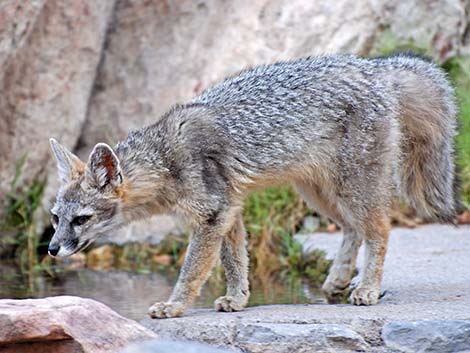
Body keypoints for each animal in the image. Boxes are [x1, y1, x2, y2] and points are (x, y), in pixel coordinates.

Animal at [49, 53, 458, 318]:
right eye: (55, 218)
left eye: (81, 219)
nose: (51, 249)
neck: (166, 155)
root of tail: (374, 66)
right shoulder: (229, 210)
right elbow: (235, 263)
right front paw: (237, 299)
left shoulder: (213, 213)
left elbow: (193, 269)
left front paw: (175, 305)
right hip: (320, 193)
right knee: (353, 228)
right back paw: (338, 280)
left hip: (352, 186)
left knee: (379, 229)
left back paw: (367, 288)